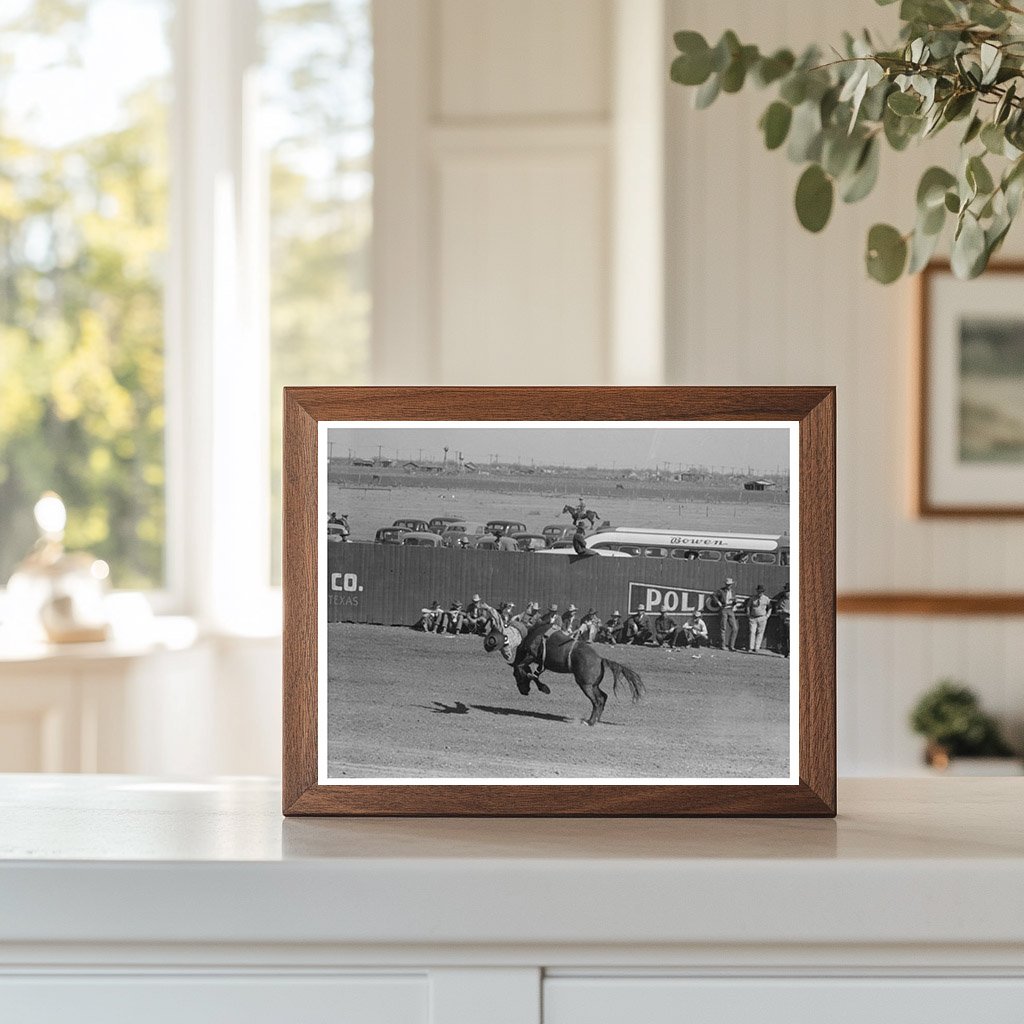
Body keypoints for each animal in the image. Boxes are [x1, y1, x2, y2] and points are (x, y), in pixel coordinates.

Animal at [483, 614, 643, 729]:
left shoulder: (531, 655)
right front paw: (543, 687)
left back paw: (589, 722)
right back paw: (595, 720)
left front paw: (542, 687)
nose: (524, 691)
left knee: (597, 701)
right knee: (603, 697)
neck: (533, 633)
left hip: (585, 685)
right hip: (593, 685)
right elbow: (533, 673)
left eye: (515, 676)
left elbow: (522, 668)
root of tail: (600, 659)